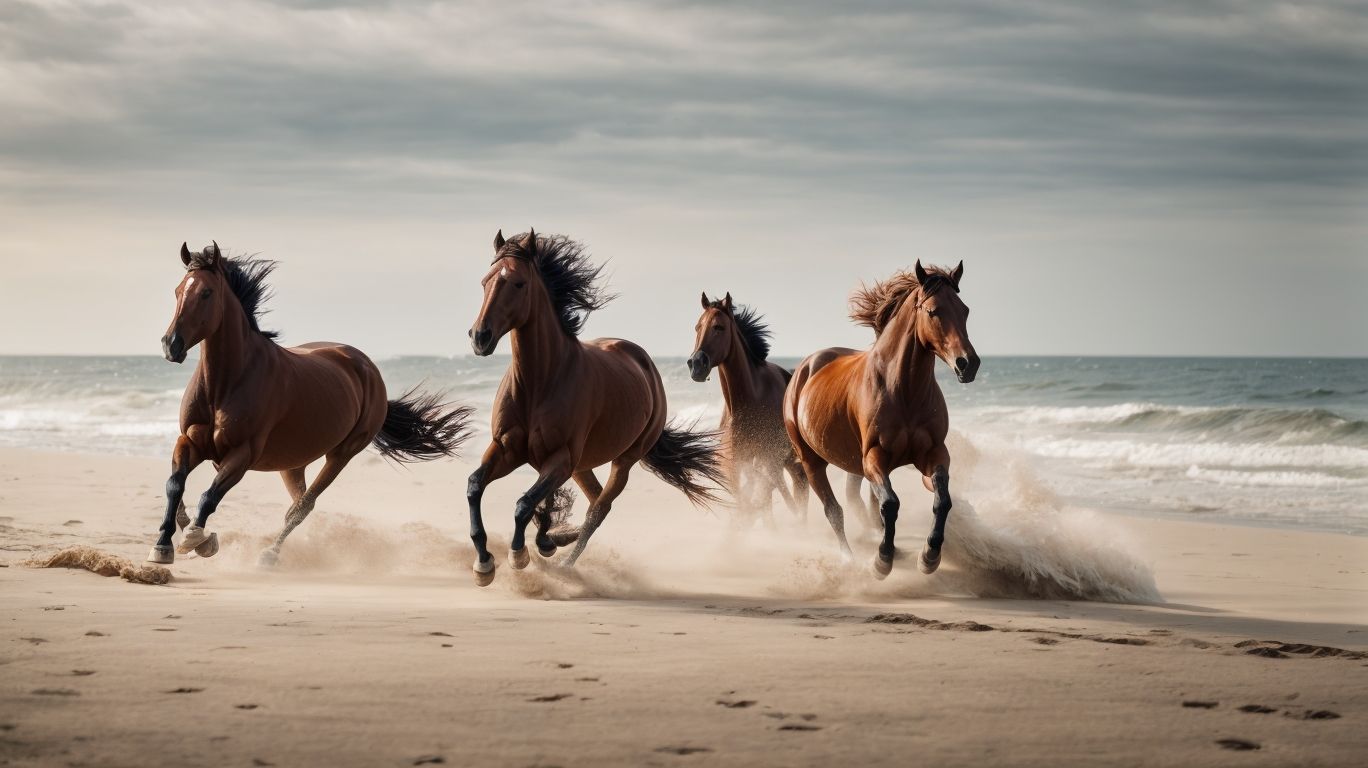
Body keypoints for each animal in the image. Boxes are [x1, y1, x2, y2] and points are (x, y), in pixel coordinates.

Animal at [148, 242, 473, 567]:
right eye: (178, 290)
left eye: (206, 292)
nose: (171, 344)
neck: (226, 384)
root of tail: (369, 369)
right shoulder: (190, 441)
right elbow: (174, 485)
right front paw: (165, 545)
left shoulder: (242, 454)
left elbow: (209, 495)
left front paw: (196, 539)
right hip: (293, 462)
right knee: (297, 502)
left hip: (342, 454)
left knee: (303, 507)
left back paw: (270, 555)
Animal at [465, 229, 725, 586]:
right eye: (484, 281)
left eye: (518, 283)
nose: (480, 336)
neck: (540, 381)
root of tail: (644, 362)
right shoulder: (507, 448)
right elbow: (476, 486)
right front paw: (484, 562)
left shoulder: (559, 458)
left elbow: (524, 503)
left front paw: (518, 555)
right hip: (579, 465)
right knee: (592, 499)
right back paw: (552, 540)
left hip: (621, 460)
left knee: (598, 509)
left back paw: (562, 560)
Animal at [686, 293, 807, 524]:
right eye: (697, 327)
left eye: (719, 327)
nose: (696, 365)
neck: (748, 402)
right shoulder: (735, 464)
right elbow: (745, 500)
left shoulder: (769, 460)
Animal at [783, 260, 979, 578]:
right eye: (933, 311)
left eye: (965, 310)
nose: (968, 364)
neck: (903, 391)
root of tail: (805, 367)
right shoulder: (874, 457)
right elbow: (890, 504)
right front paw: (881, 561)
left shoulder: (934, 453)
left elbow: (942, 499)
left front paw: (929, 556)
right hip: (812, 462)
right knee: (834, 511)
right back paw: (850, 559)